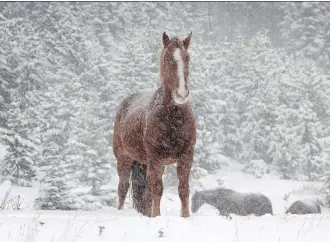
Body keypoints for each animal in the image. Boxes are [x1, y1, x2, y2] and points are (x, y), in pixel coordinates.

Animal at [114, 30, 197, 217]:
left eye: (187, 58)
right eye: (166, 58)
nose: (181, 94)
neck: (173, 119)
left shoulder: (186, 158)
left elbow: (183, 190)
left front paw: (185, 216)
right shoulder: (156, 160)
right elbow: (157, 189)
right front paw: (156, 216)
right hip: (124, 158)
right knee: (123, 187)